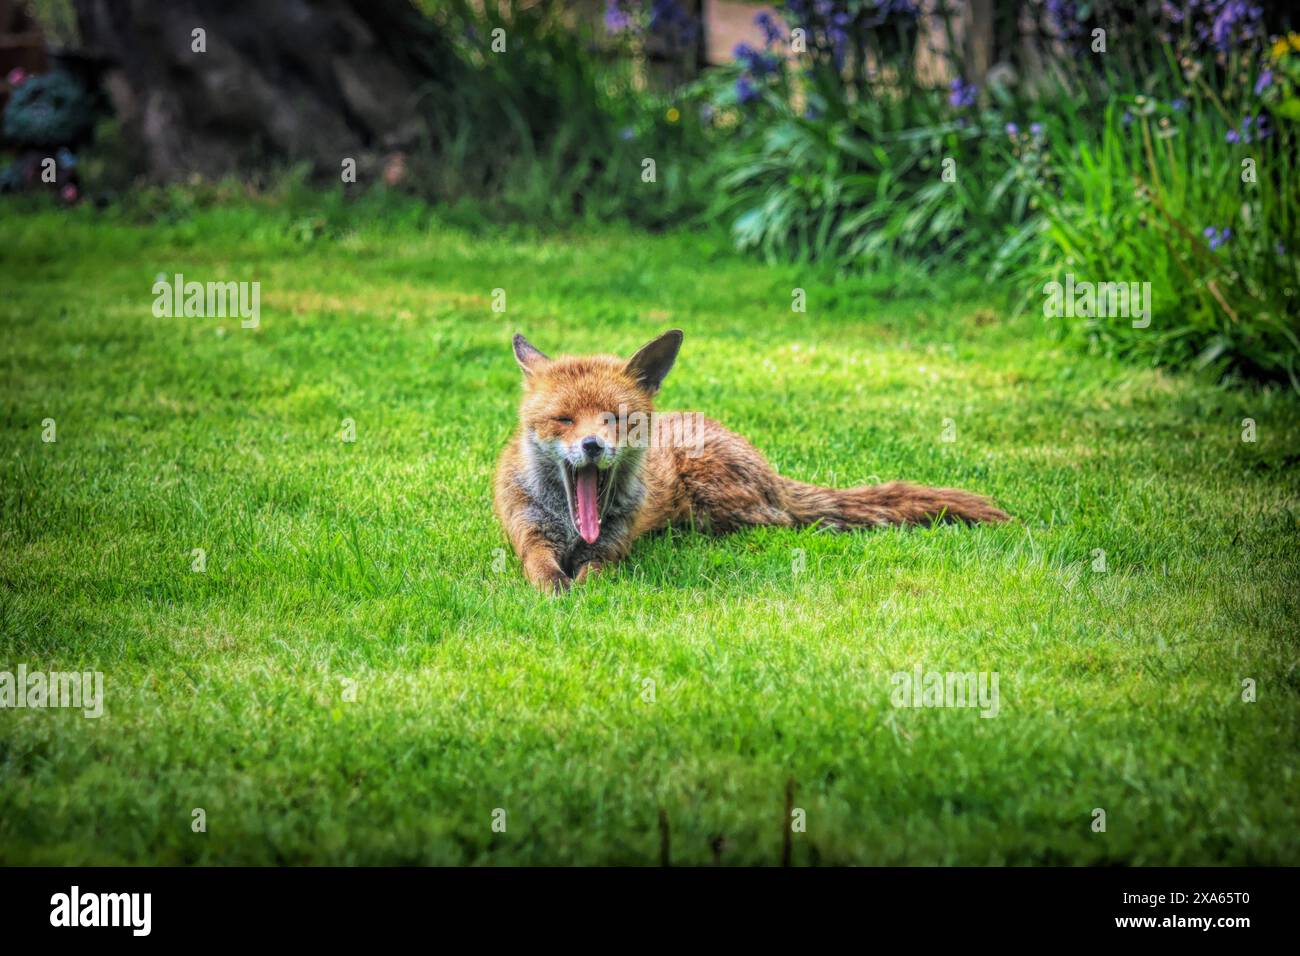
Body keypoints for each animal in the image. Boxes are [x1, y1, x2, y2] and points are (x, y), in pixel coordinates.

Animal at [491, 332, 1008, 595]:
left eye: (616, 420)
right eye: (564, 419)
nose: (593, 446)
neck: (572, 527)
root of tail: (768, 470)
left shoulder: (613, 546)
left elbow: (595, 574)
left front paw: (584, 590)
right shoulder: (529, 534)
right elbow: (541, 570)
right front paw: (556, 589)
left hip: (721, 510)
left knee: (784, 520)